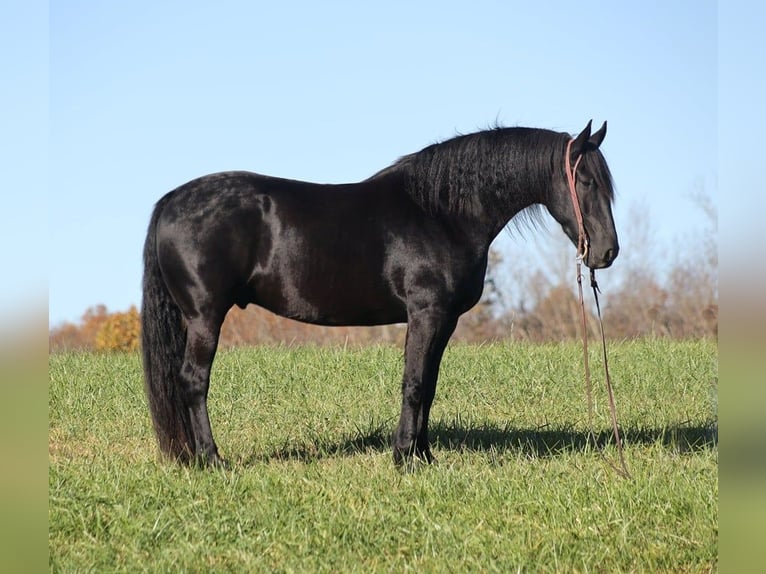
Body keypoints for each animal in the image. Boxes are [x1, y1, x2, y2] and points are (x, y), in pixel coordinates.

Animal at [141, 120, 618, 468]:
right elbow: (414, 382)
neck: (441, 212)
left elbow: (429, 384)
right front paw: (404, 458)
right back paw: (211, 460)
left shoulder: (445, 320)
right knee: (194, 381)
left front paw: (424, 456)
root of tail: (171, 200)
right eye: (587, 181)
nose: (608, 252)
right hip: (205, 315)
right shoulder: (426, 313)